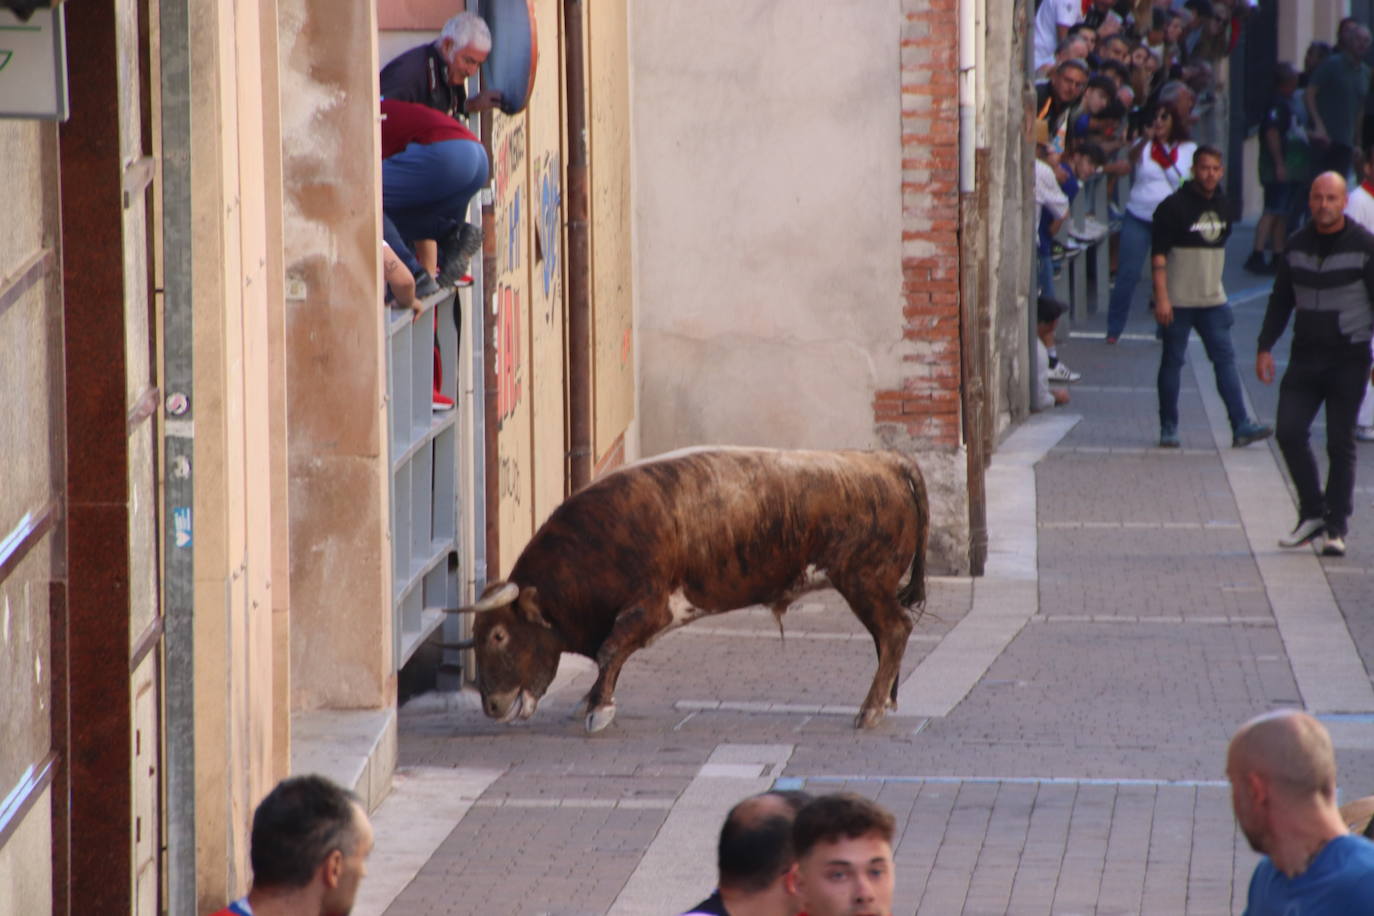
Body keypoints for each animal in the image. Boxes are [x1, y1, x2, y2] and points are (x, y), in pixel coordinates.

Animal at [450, 447, 934, 736]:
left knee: (893, 630)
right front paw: (591, 700)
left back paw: (870, 709)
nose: (491, 705)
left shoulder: (650, 609)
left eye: (499, 635)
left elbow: (611, 651)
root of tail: (883, 461)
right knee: (887, 635)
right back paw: (885, 701)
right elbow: (612, 656)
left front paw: (598, 708)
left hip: (863, 581)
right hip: (869, 585)